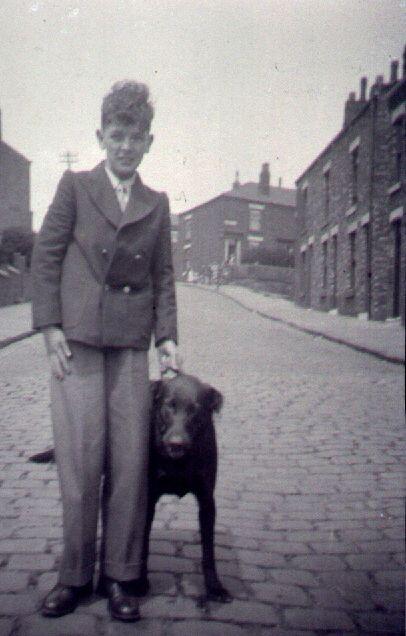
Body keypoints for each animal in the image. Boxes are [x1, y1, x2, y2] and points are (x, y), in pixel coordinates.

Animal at [30, 372, 230, 600]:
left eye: (194, 410)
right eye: (168, 406)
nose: (175, 443)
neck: (178, 461)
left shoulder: (207, 502)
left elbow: (209, 551)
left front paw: (214, 587)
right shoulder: (147, 499)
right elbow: (142, 545)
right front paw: (140, 583)